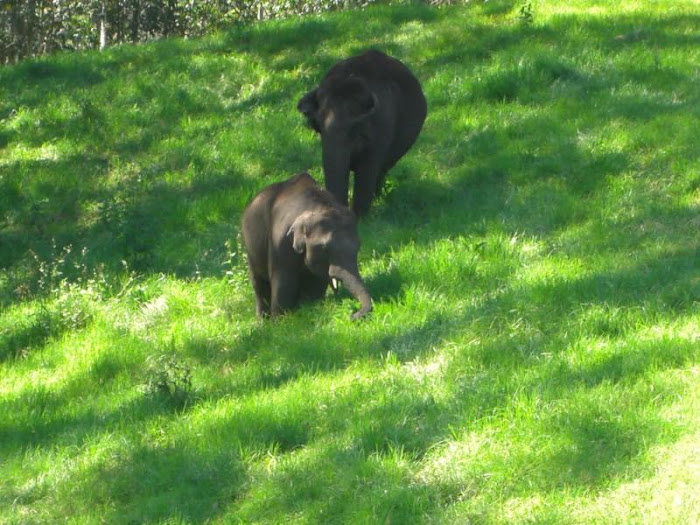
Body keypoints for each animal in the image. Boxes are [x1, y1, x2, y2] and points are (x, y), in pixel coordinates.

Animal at [241, 172, 372, 320]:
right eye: (325, 249)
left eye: (358, 247)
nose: (352, 314)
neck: (317, 208)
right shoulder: (279, 240)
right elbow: (284, 282)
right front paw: (280, 320)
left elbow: (315, 281)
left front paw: (307, 309)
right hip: (250, 245)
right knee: (258, 282)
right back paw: (263, 320)